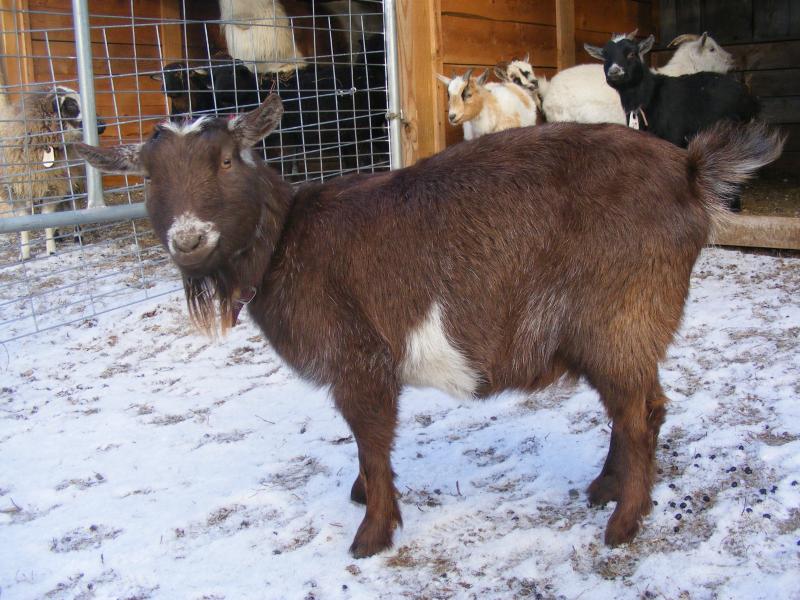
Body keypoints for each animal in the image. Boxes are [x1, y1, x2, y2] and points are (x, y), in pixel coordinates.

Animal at [1, 86, 105, 259]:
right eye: (71, 105)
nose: (102, 125)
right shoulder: (16, 191)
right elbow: (24, 223)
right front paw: (24, 253)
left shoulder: (54, 186)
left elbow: (47, 218)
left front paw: (50, 250)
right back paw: (58, 234)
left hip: (75, 182)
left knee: (74, 205)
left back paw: (77, 235)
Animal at [75, 95, 784, 558]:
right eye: (147, 174)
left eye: (226, 160)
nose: (188, 239)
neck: (286, 241)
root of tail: (689, 171)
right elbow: (367, 445)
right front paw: (363, 499)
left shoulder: (360, 360)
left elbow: (371, 438)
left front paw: (371, 534)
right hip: (624, 331)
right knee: (640, 406)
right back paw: (605, 489)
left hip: (621, 317)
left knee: (638, 413)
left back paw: (623, 525)